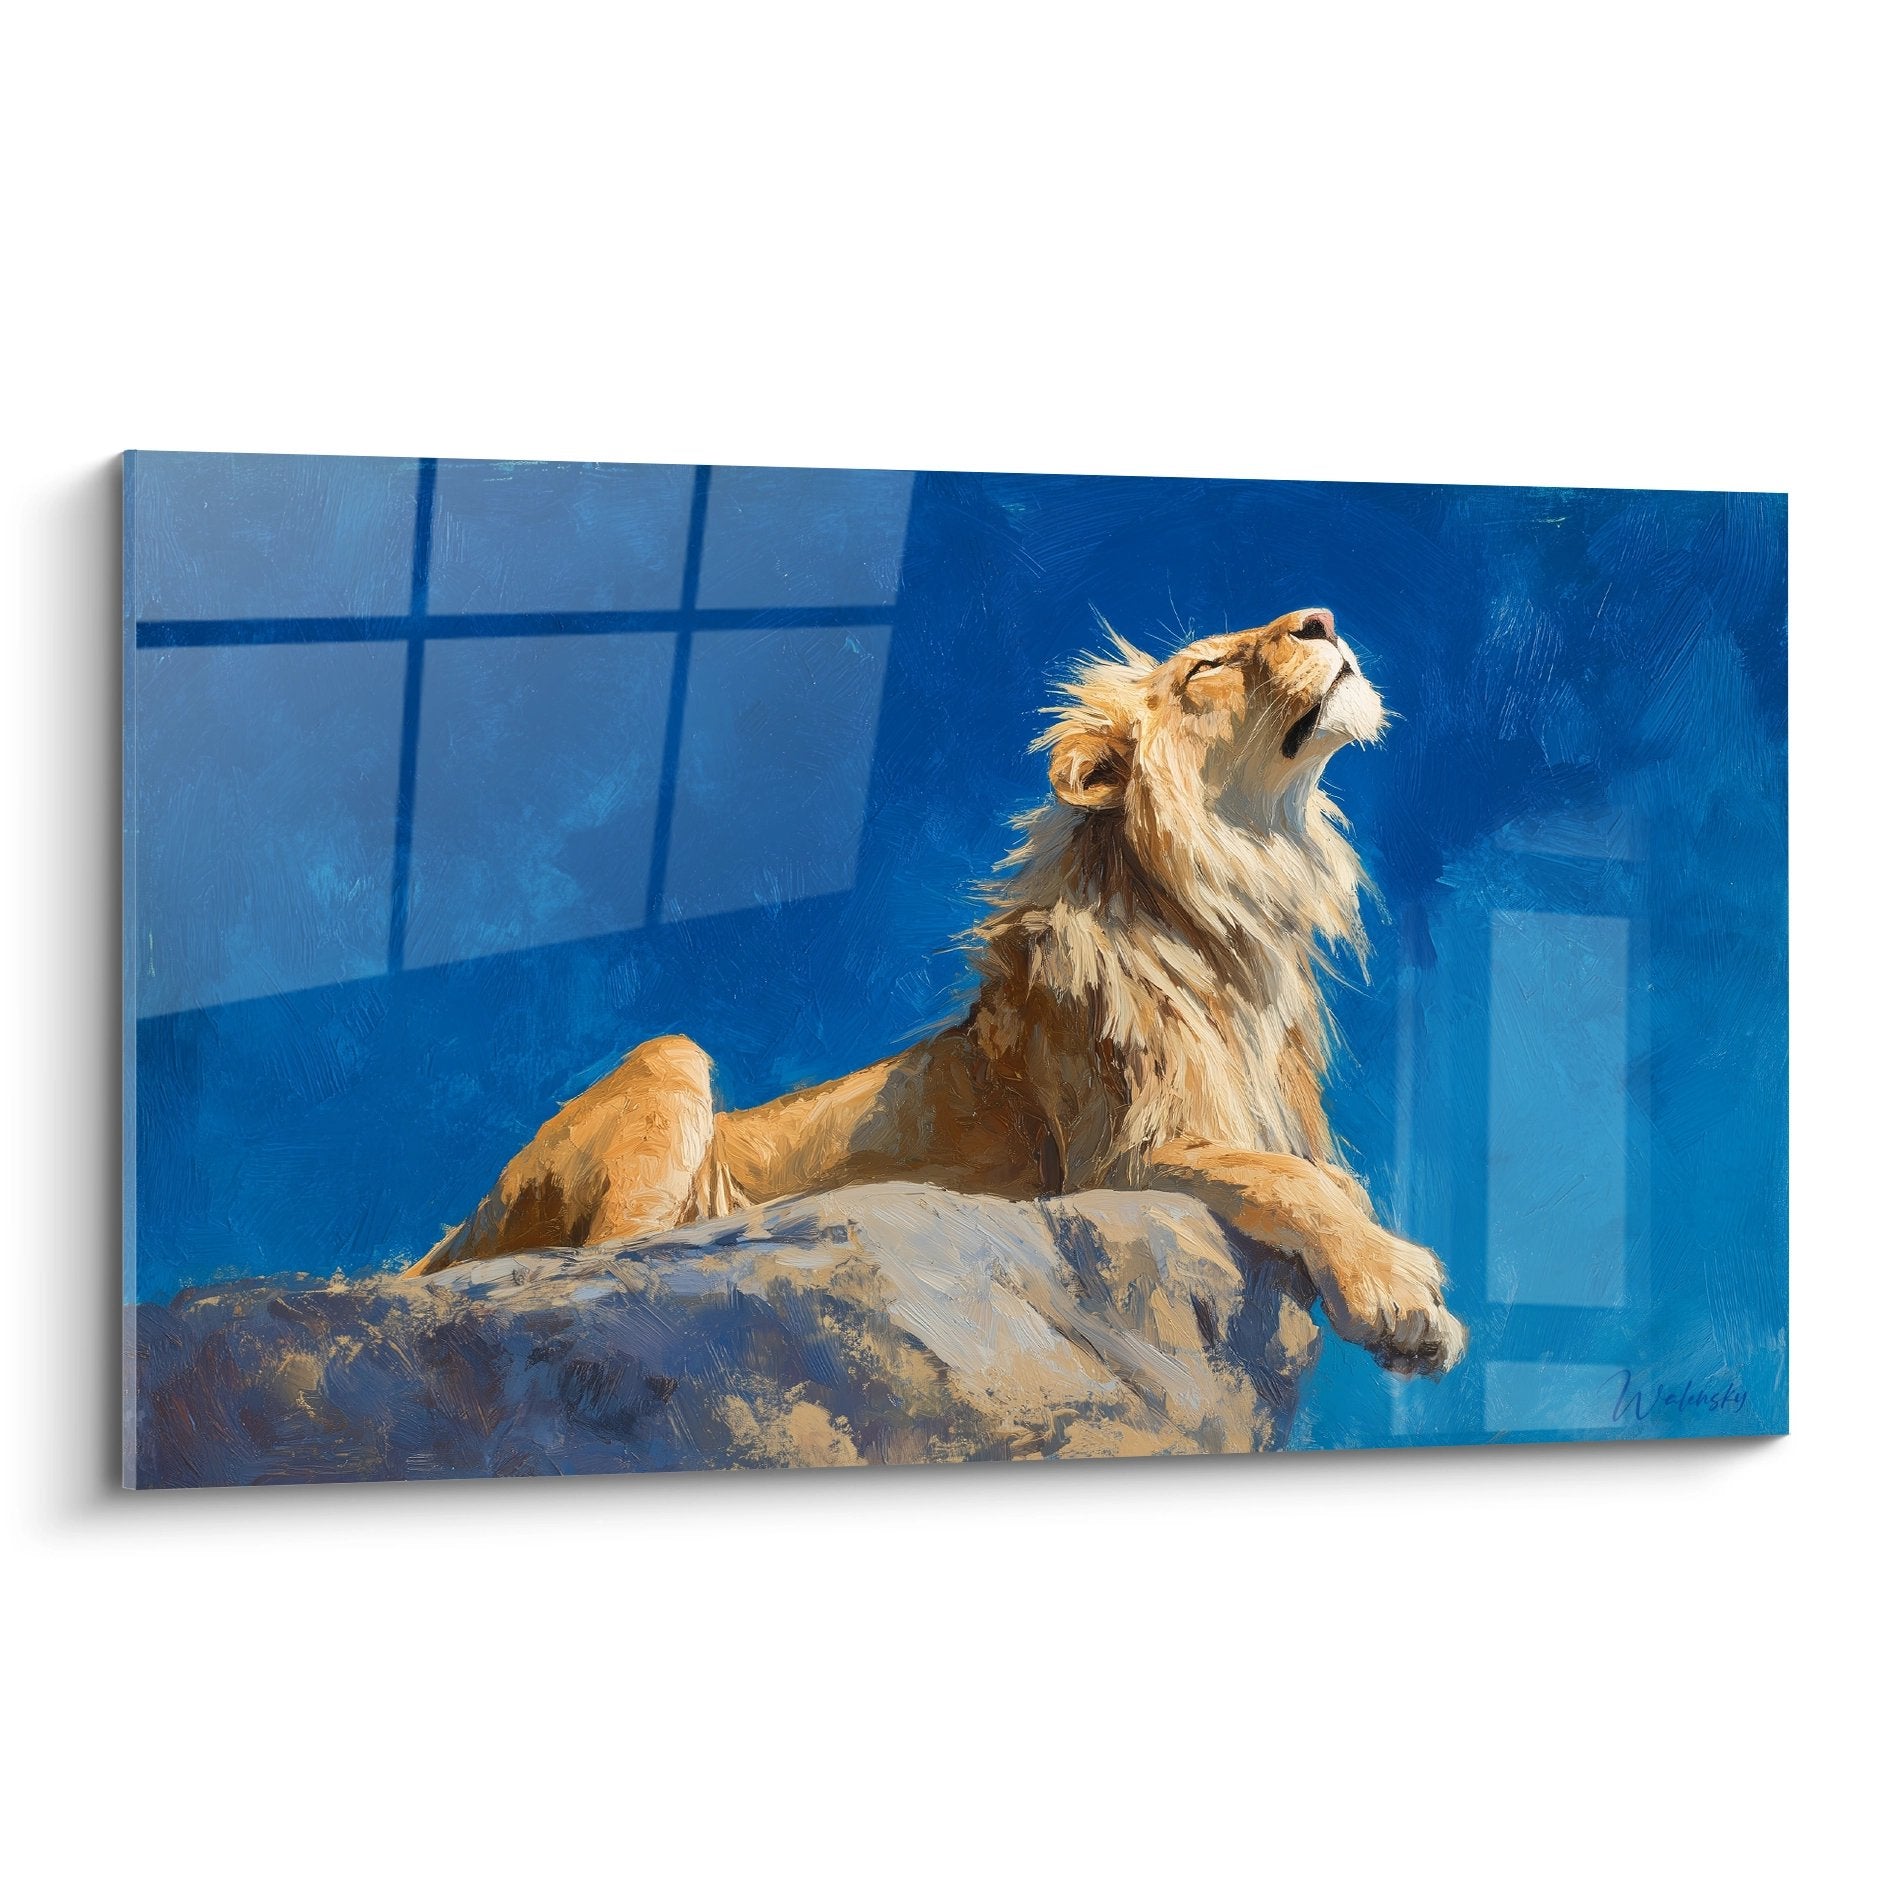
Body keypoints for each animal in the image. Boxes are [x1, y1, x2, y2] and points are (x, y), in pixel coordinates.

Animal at [406, 607, 1467, 1378]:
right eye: (1204, 668)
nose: (1323, 619)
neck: (1236, 914)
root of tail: (443, 1239)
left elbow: (1321, 1176)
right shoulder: (1107, 1163)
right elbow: (1286, 1178)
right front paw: (1399, 1294)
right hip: (670, 1061)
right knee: (603, 1267)